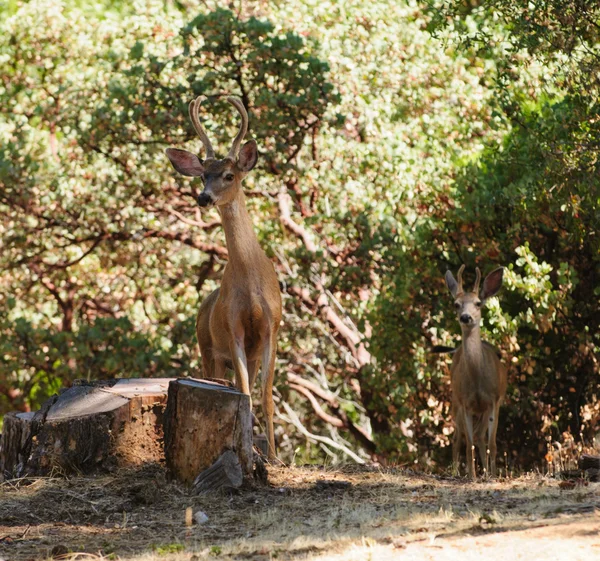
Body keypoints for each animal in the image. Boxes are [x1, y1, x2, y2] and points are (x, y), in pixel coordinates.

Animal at [442, 264, 508, 474]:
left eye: (478, 303)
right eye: (456, 304)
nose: (466, 317)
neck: (478, 381)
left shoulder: (493, 400)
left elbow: (492, 443)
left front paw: (492, 474)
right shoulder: (465, 403)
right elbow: (468, 444)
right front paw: (472, 475)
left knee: (480, 436)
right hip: (456, 402)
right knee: (458, 438)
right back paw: (457, 472)